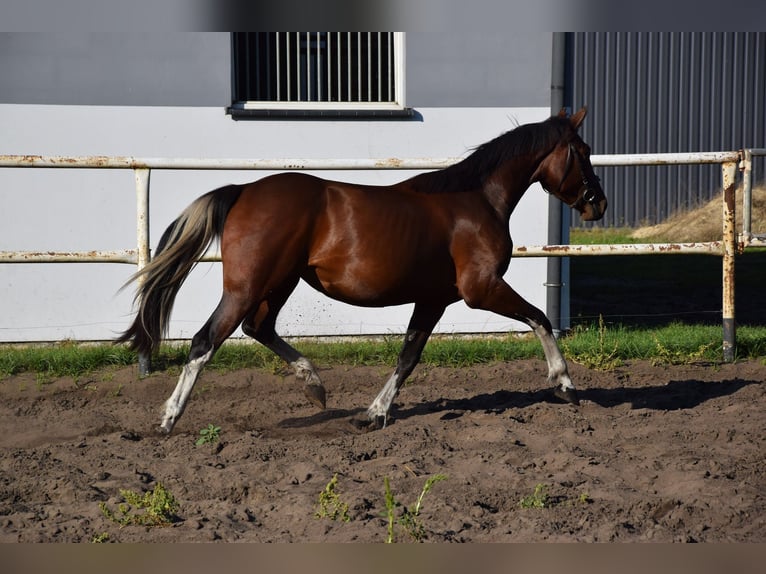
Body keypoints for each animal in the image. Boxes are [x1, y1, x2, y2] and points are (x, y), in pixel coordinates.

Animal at [117, 107, 606, 435]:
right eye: (582, 151)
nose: (598, 203)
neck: (477, 200)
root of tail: (243, 189)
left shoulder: (433, 299)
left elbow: (408, 356)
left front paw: (374, 414)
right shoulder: (480, 289)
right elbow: (540, 319)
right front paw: (565, 384)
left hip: (280, 283)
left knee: (259, 328)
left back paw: (314, 386)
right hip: (248, 286)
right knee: (206, 340)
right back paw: (168, 418)